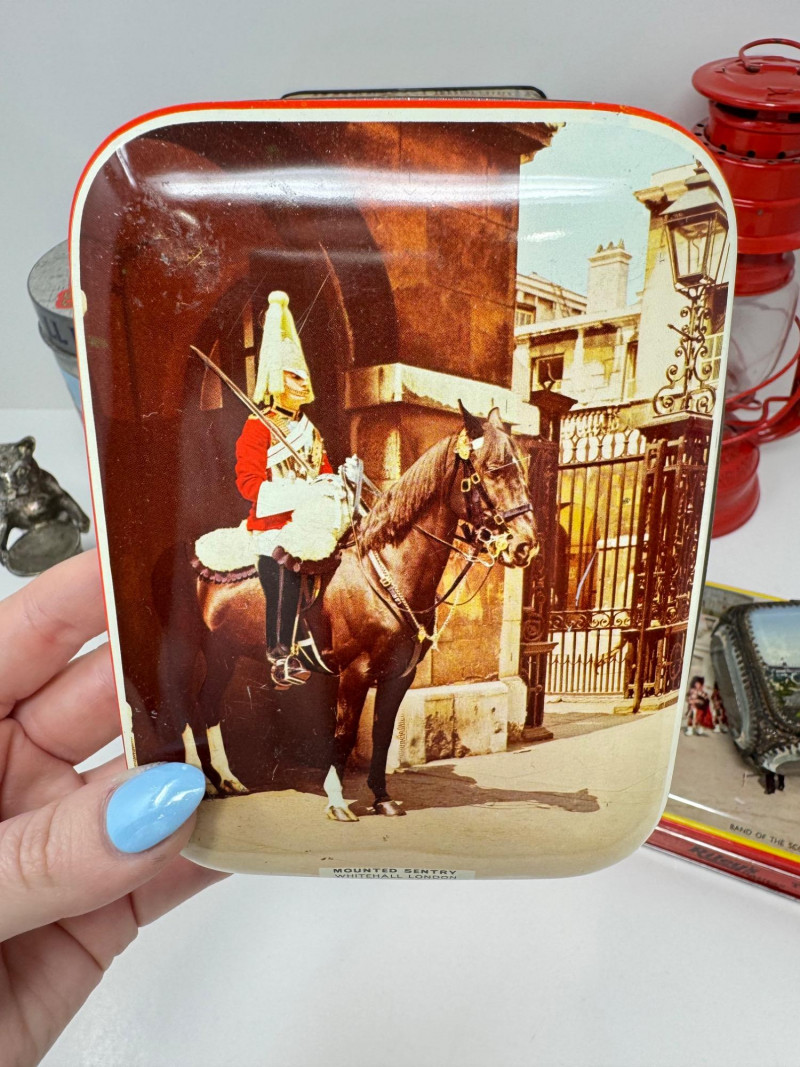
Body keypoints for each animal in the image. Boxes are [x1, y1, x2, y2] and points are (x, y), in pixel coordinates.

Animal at [157, 403, 539, 821]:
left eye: (520, 468)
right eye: (494, 469)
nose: (526, 545)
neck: (389, 569)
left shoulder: (399, 676)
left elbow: (383, 734)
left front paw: (382, 797)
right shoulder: (355, 673)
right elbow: (345, 731)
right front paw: (337, 799)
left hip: (223, 649)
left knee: (207, 705)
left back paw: (225, 779)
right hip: (185, 646)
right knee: (182, 702)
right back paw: (198, 782)